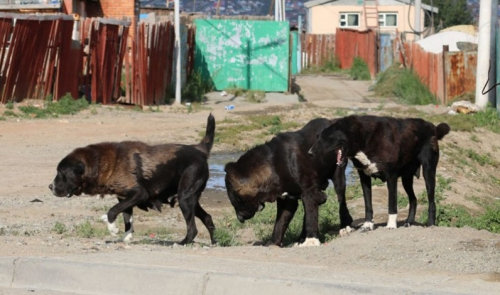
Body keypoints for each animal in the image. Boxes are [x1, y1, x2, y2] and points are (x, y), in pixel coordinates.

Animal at [48, 113, 217, 245]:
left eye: (61, 172)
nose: (50, 187)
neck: (106, 162)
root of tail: (200, 150)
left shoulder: (138, 194)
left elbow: (112, 211)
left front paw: (112, 229)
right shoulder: (124, 200)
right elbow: (127, 221)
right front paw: (126, 237)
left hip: (185, 199)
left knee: (193, 229)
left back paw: (182, 243)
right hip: (190, 200)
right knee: (208, 218)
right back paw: (215, 241)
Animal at [223, 118, 348, 247]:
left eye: (237, 199)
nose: (240, 218)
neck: (272, 166)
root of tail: (331, 121)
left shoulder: (310, 193)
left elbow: (310, 215)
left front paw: (311, 239)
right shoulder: (287, 201)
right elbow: (280, 223)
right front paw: (274, 243)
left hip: (338, 175)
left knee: (341, 199)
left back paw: (344, 226)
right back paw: (300, 239)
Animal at [310, 115, 452, 231]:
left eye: (326, 138)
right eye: (317, 138)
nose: (309, 152)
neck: (363, 138)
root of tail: (432, 127)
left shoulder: (391, 177)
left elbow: (392, 204)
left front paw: (391, 225)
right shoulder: (364, 178)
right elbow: (368, 204)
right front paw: (368, 225)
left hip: (428, 173)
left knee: (431, 202)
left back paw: (430, 223)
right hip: (406, 179)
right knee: (414, 199)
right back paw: (409, 222)